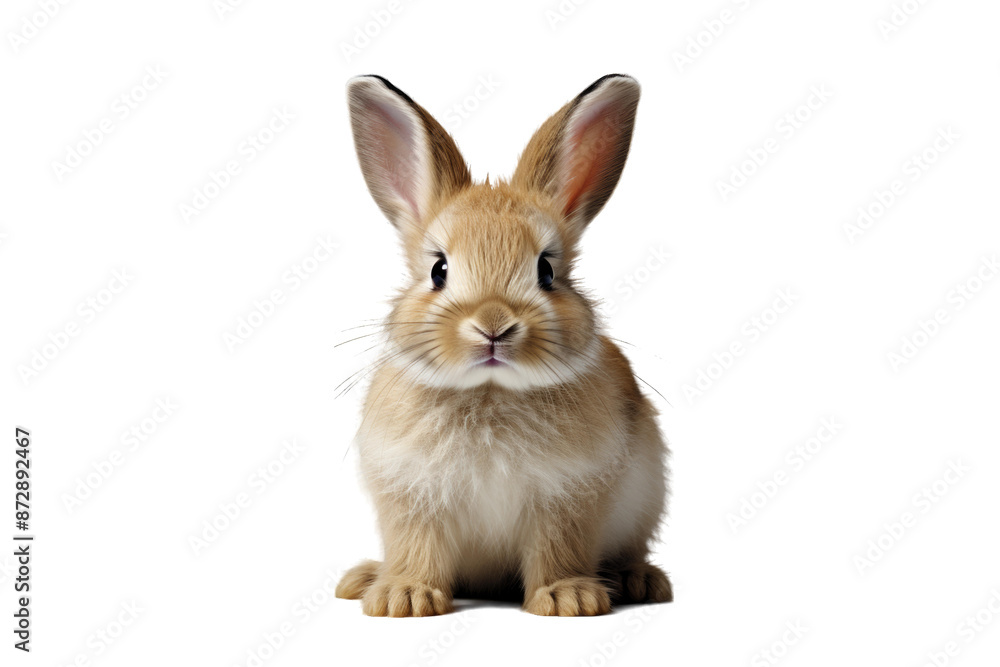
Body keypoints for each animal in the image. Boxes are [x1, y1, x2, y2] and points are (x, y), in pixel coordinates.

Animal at [335, 74, 671, 616]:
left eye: (547, 271)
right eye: (439, 270)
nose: (493, 326)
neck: (490, 390)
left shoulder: (566, 498)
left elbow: (557, 549)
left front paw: (568, 598)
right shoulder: (414, 496)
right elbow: (418, 547)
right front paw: (403, 597)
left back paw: (638, 579)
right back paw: (365, 578)